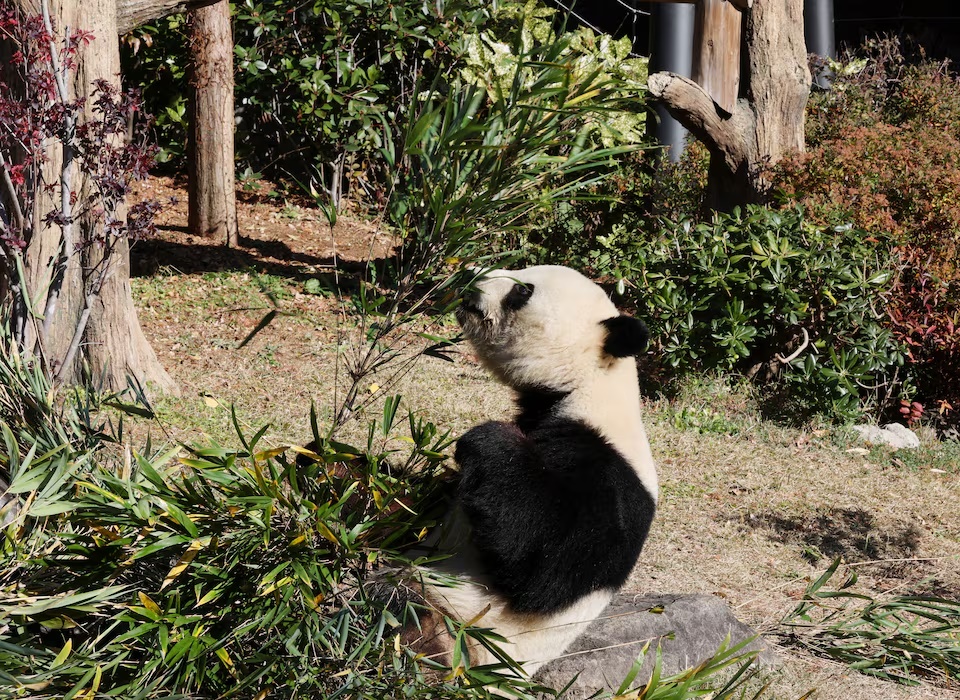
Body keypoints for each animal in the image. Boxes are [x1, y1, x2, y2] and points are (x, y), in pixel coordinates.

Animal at [406, 265, 658, 677]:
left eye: (523, 290)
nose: (470, 275)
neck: (586, 387)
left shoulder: (608, 476)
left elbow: (546, 567)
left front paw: (490, 440)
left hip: (456, 632)